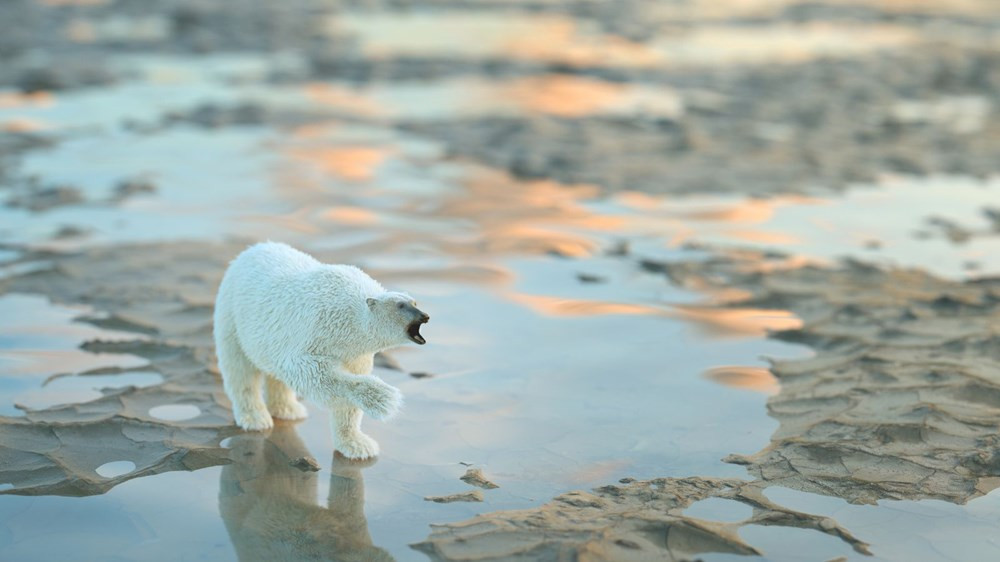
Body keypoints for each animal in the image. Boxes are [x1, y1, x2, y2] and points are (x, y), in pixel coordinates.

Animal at [213, 238, 428, 458]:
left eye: (414, 302)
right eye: (401, 305)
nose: (424, 316)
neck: (350, 318)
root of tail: (253, 248)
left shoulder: (356, 354)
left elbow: (345, 403)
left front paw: (358, 445)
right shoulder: (315, 329)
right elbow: (309, 371)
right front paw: (383, 399)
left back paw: (290, 410)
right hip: (232, 315)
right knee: (240, 370)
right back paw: (256, 418)